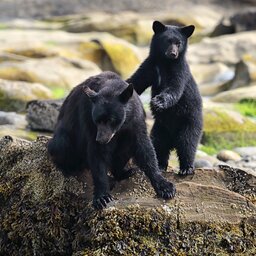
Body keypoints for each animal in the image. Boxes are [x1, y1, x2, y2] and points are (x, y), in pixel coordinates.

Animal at [48, 71, 176, 208]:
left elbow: (144, 148)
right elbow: (97, 154)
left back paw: (126, 172)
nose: (101, 139)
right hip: (64, 138)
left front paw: (166, 188)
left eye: (111, 120)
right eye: (97, 120)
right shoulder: (89, 119)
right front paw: (102, 197)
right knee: (62, 146)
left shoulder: (136, 119)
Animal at [127, 21, 203, 175]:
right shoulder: (150, 66)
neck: (165, 63)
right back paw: (161, 165)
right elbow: (136, 81)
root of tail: (173, 139)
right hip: (159, 128)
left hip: (190, 122)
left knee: (188, 143)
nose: (173, 54)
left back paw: (186, 168)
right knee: (159, 145)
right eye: (167, 41)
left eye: (179, 43)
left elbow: (174, 89)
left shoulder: (180, 71)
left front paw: (158, 102)